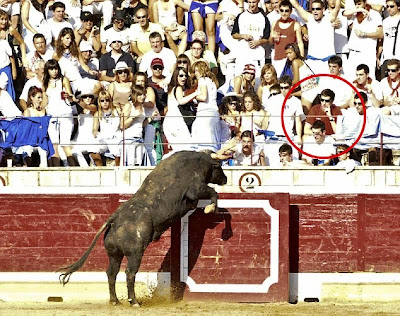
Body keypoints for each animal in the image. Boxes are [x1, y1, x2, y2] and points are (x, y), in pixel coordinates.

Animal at [59, 151, 228, 306]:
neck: (199, 162)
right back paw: (133, 301)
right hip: (135, 253)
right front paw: (210, 209)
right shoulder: (195, 189)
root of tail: (114, 218)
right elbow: (213, 193)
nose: (225, 179)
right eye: (219, 167)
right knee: (130, 273)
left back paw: (115, 300)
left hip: (114, 254)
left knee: (111, 273)